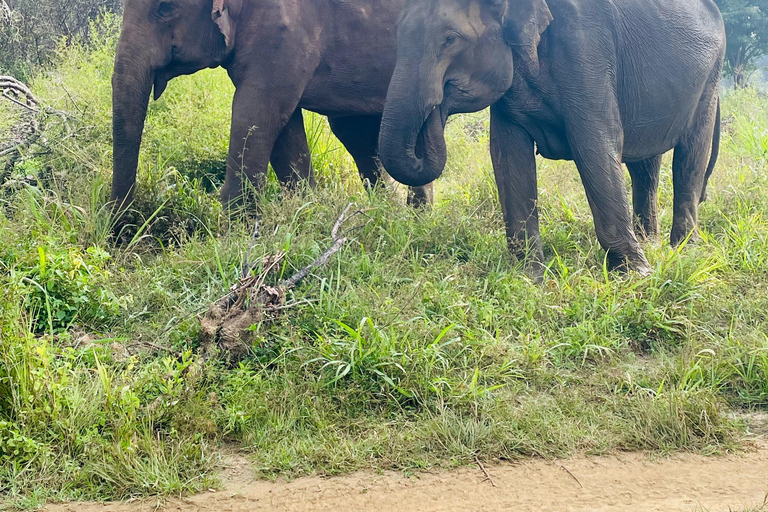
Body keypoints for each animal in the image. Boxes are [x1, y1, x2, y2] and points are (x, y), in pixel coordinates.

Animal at [109, 0, 432, 210]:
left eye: (166, 7)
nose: (123, 230)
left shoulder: (285, 29)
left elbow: (255, 111)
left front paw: (234, 226)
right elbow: (283, 125)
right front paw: (306, 210)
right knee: (358, 134)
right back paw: (397, 214)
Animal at [378, 0, 728, 276]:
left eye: (450, 39)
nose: (437, 107)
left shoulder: (586, 50)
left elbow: (596, 144)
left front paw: (636, 275)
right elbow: (507, 154)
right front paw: (529, 277)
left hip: (710, 80)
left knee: (690, 157)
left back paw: (684, 250)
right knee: (645, 165)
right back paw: (650, 243)